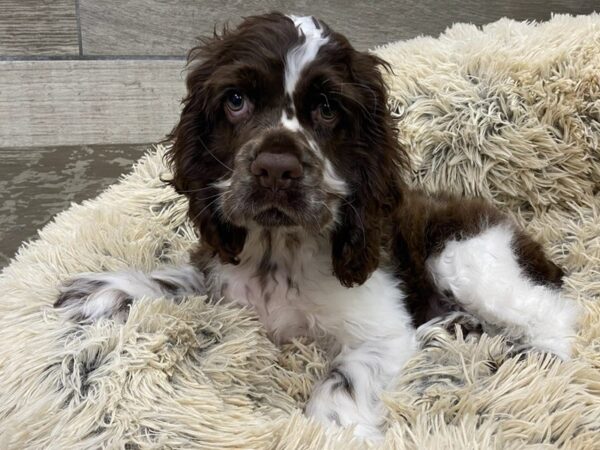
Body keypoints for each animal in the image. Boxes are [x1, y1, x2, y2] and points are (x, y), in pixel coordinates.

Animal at [55, 13, 576, 440]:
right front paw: (103, 291)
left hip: (465, 256)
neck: (278, 252)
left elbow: (345, 379)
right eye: (236, 100)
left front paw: (331, 429)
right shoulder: (224, 275)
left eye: (327, 109)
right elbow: (178, 278)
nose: (275, 169)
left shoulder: (384, 331)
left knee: (554, 314)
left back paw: (534, 362)